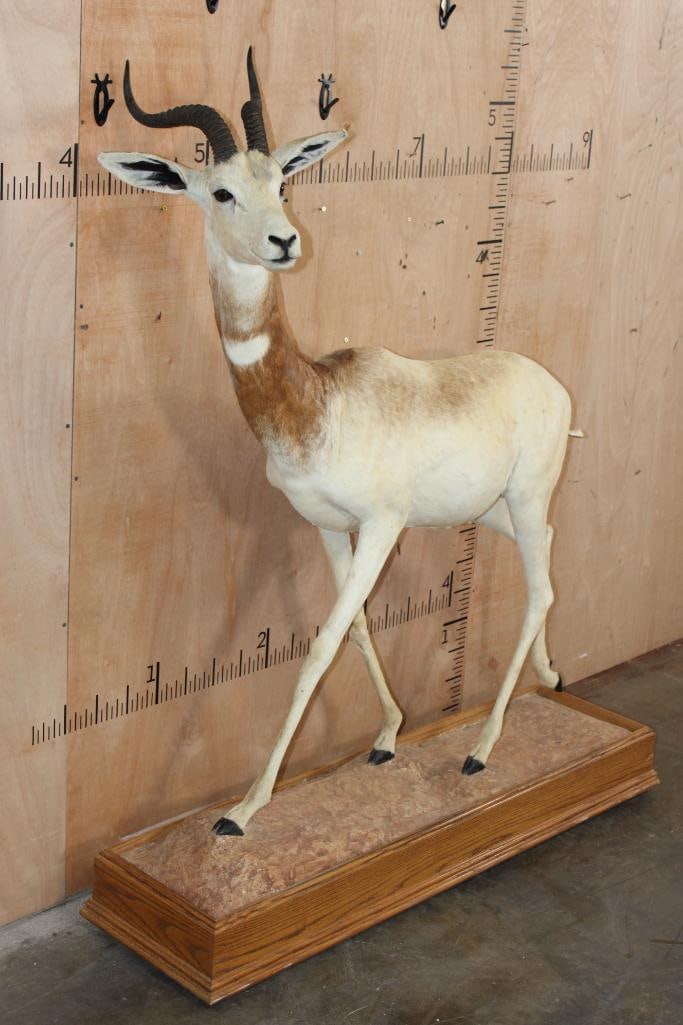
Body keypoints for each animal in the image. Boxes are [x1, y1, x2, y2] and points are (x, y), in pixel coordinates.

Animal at [100, 50, 577, 837]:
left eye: (282, 183)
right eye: (221, 191)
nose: (284, 241)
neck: (315, 402)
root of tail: (550, 383)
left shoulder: (382, 524)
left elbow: (321, 641)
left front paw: (242, 810)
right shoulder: (326, 526)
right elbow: (353, 628)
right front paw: (385, 736)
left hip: (527, 492)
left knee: (539, 588)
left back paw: (480, 749)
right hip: (496, 512)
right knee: (545, 563)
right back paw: (551, 675)